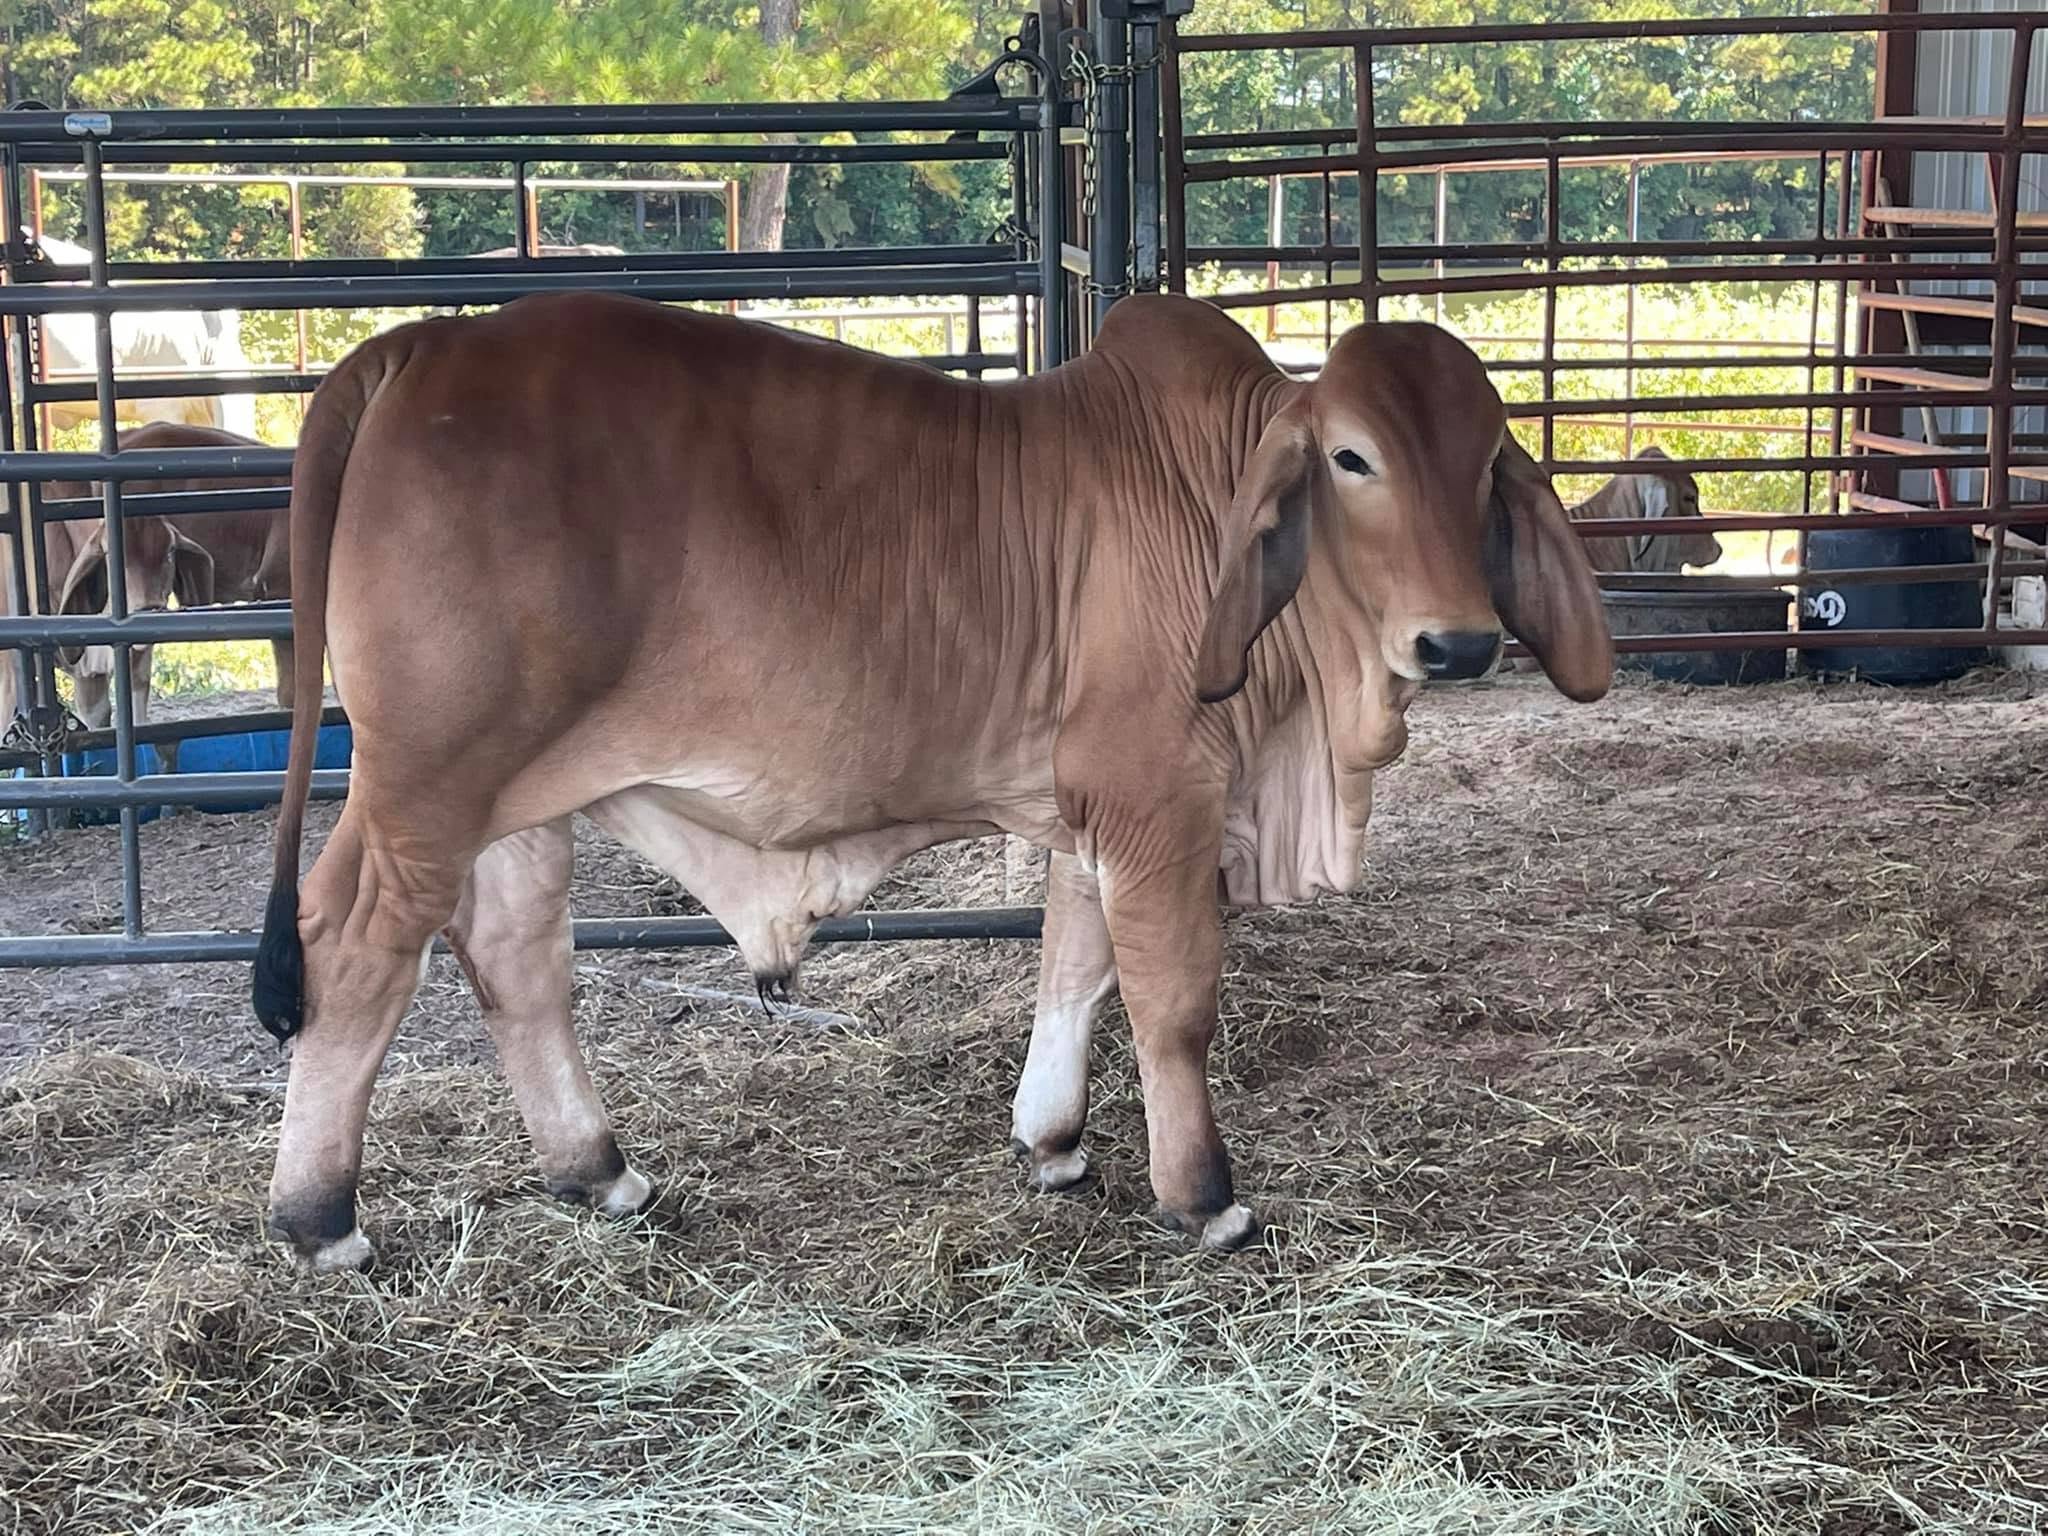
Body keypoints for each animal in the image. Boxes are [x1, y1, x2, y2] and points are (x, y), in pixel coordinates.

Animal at [251, 291, 1612, 1272]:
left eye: (1486, 460)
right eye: (1349, 458)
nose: (1459, 644)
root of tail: (422, 343)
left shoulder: (1089, 811)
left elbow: (1074, 970)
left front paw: (1051, 1144)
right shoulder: (1156, 796)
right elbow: (1170, 1004)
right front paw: (1204, 1198)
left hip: (517, 803)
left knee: (516, 959)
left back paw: (599, 1169)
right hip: (426, 784)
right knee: (354, 946)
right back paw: (322, 1219)